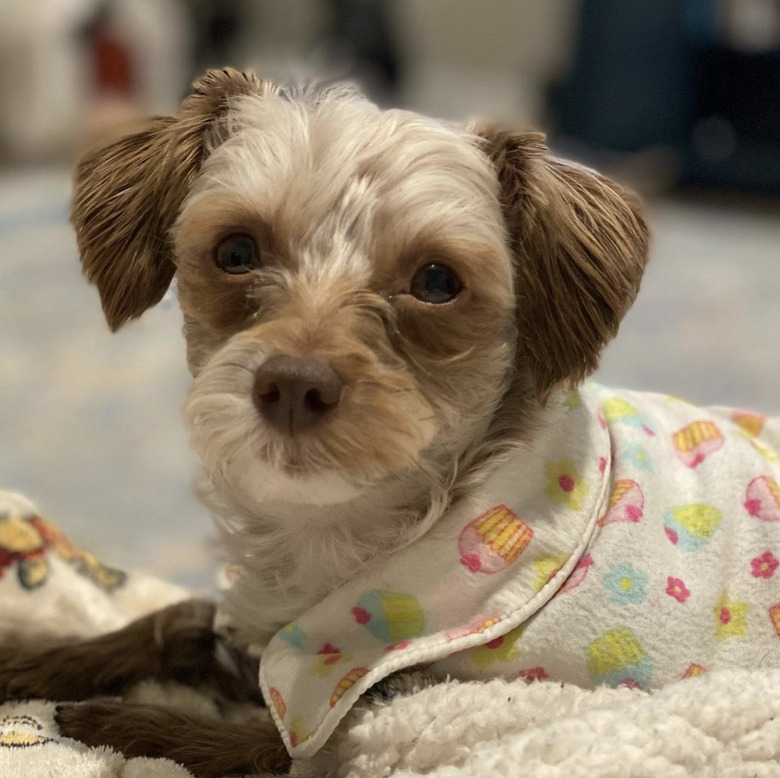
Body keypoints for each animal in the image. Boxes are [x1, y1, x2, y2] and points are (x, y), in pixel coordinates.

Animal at [3, 65, 776, 768]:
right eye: (235, 251)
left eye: (436, 281)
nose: (292, 385)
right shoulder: (262, 623)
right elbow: (176, 618)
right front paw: (33, 654)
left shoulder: (340, 704)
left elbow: (239, 742)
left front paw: (112, 720)